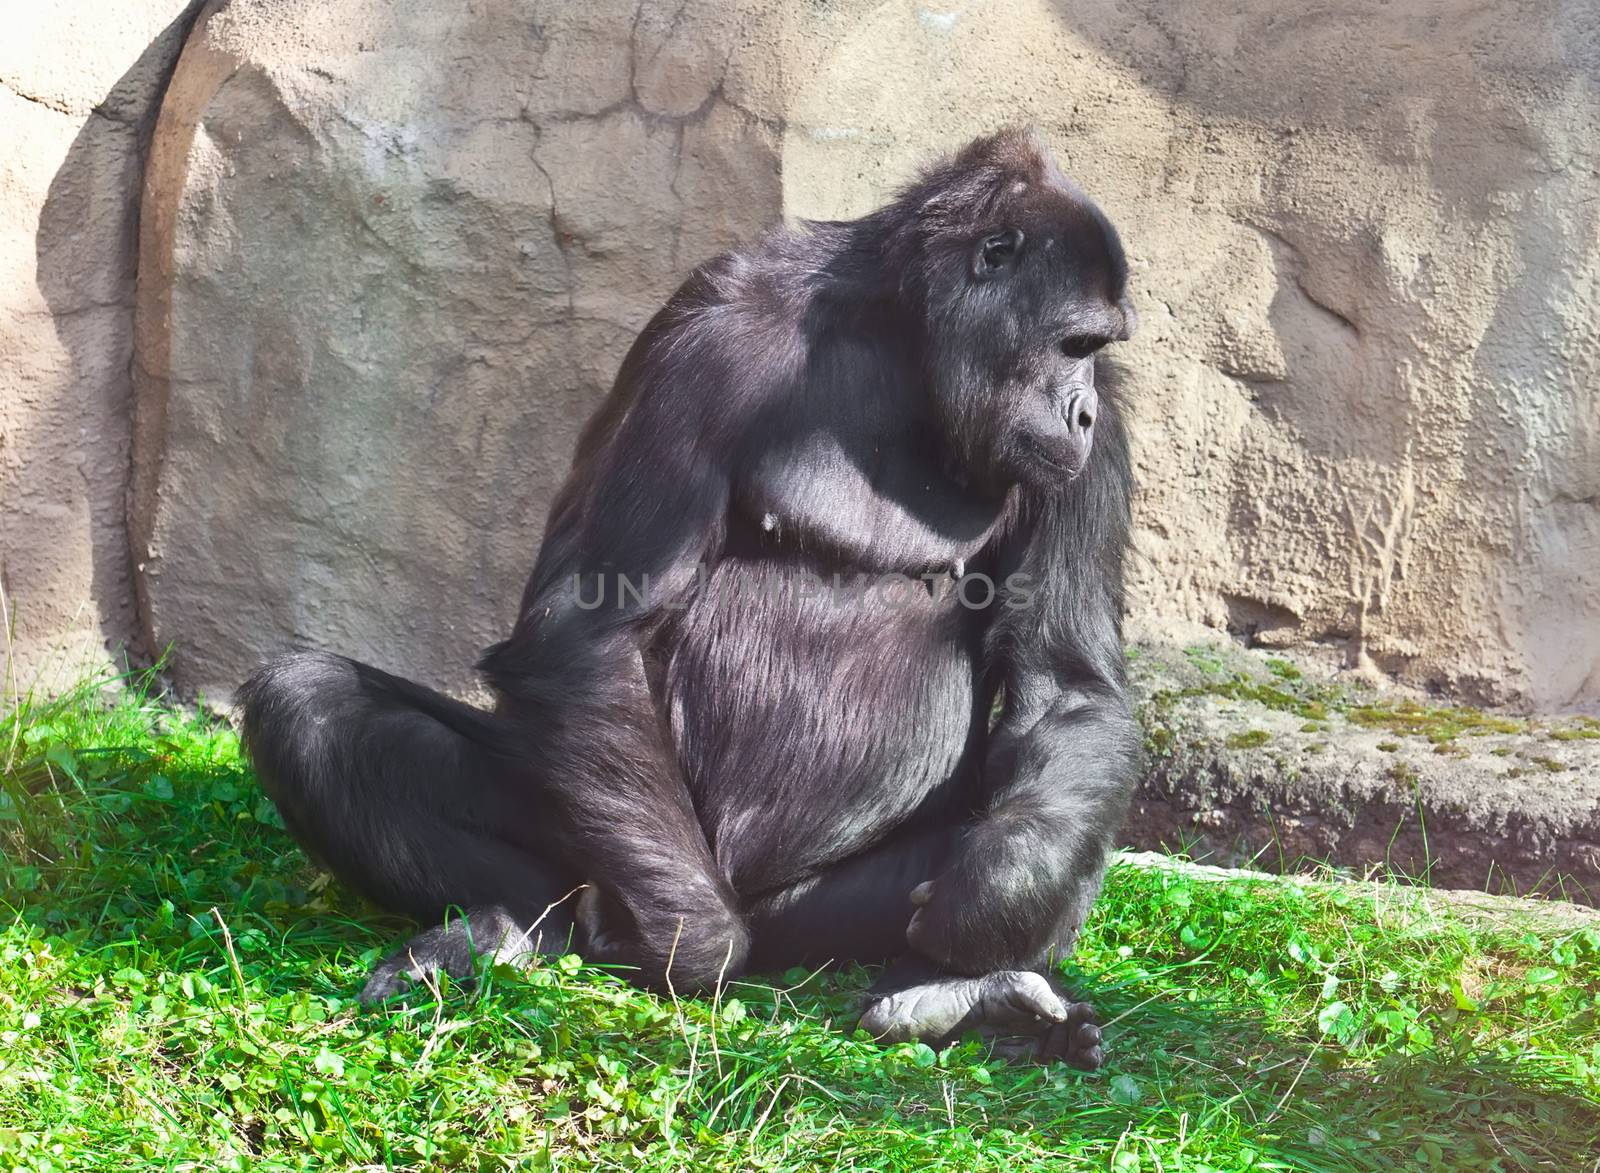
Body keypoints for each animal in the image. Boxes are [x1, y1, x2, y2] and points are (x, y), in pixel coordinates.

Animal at [233, 123, 1139, 1068]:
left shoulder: (1095, 446)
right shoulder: (709, 334)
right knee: (315, 709)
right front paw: (690, 934)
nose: (1077, 410)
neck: (907, 343)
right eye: (1075, 343)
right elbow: (591, 626)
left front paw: (1004, 892)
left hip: (817, 908)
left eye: (1095, 356)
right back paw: (514, 926)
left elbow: (1065, 685)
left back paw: (956, 988)